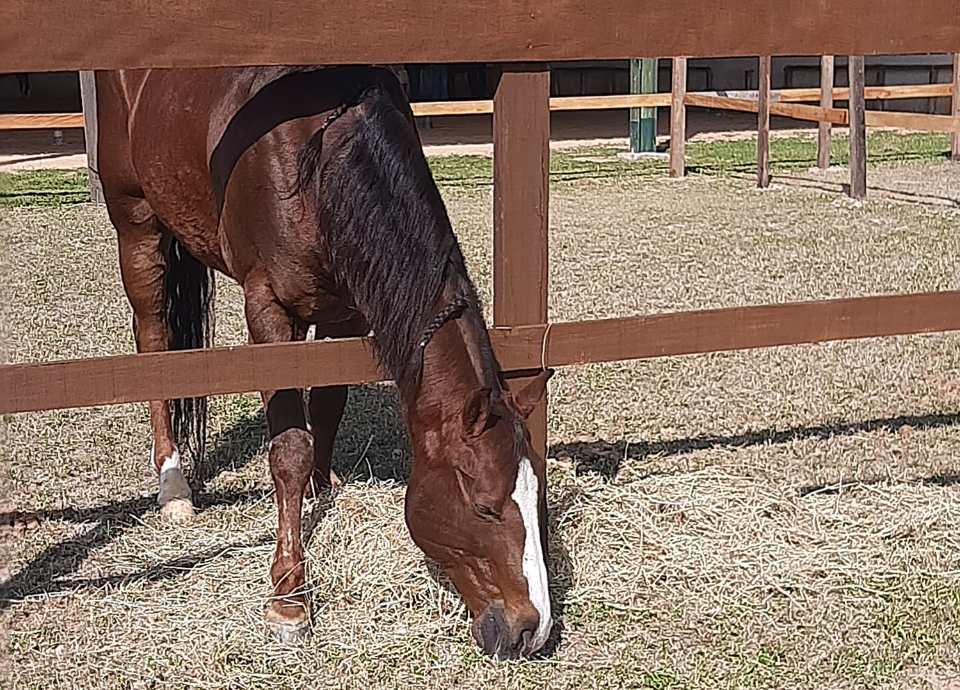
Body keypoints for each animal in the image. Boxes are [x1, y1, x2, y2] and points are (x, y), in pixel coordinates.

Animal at [95, 64, 554, 660]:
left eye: (537, 497)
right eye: (484, 507)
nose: (531, 629)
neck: (317, 154)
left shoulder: (347, 311)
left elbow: (330, 402)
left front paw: (320, 488)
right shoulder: (268, 309)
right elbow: (289, 448)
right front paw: (288, 596)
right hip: (137, 222)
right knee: (152, 341)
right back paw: (173, 485)